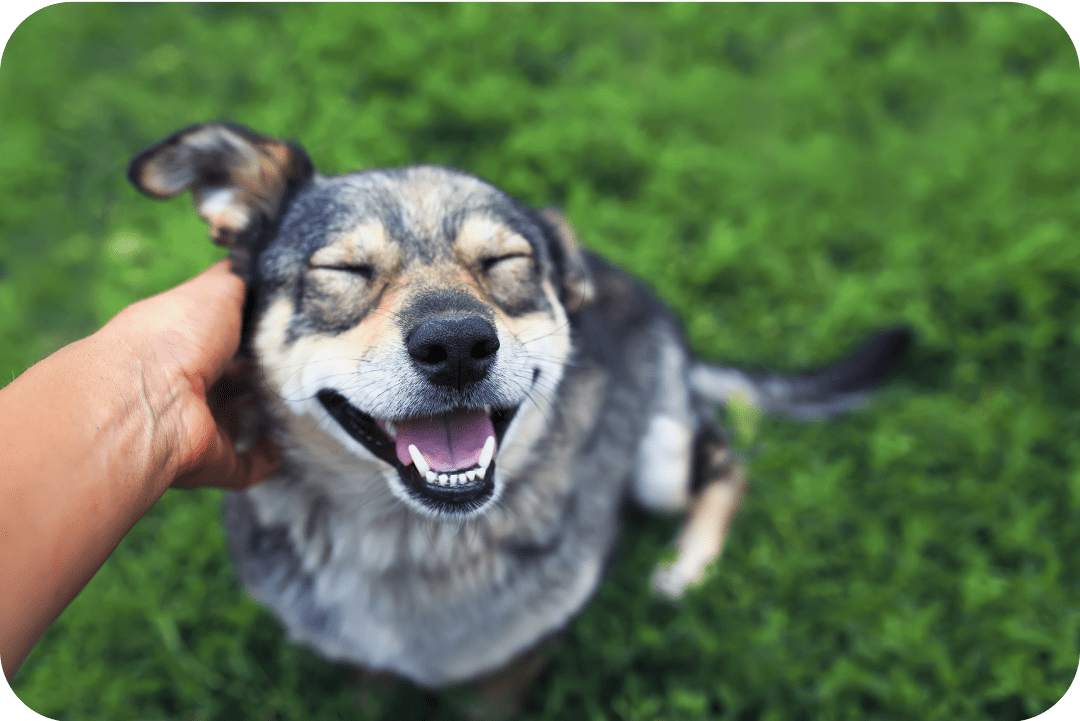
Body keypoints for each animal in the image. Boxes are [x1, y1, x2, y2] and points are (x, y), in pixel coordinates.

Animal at [126, 122, 911, 708]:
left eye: (505, 261)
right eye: (343, 271)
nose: (456, 345)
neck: (412, 545)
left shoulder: (512, 666)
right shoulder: (362, 663)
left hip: (659, 453)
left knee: (727, 464)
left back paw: (687, 567)